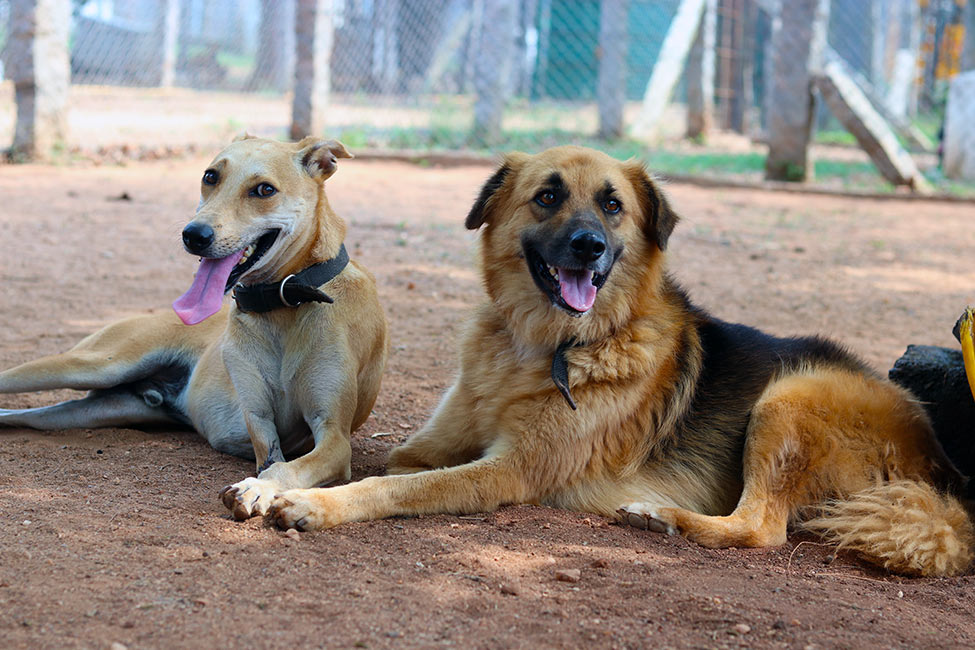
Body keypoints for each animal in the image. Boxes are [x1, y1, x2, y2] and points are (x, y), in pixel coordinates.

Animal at [0, 135, 388, 520]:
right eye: (210, 176)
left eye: (265, 189)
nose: (194, 235)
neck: (284, 304)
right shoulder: (259, 418)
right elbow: (271, 457)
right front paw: (259, 485)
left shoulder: (334, 438)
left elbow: (285, 466)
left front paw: (259, 488)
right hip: (91, 366)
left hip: (92, 409)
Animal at [266, 145, 972, 577]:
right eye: (547, 197)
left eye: (612, 205)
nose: (590, 246)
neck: (545, 346)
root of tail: (939, 466)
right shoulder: (427, 448)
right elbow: (376, 466)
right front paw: (273, 481)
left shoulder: (509, 472)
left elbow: (390, 486)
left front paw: (311, 506)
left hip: (789, 397)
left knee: (761, 529)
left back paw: (660, 517)